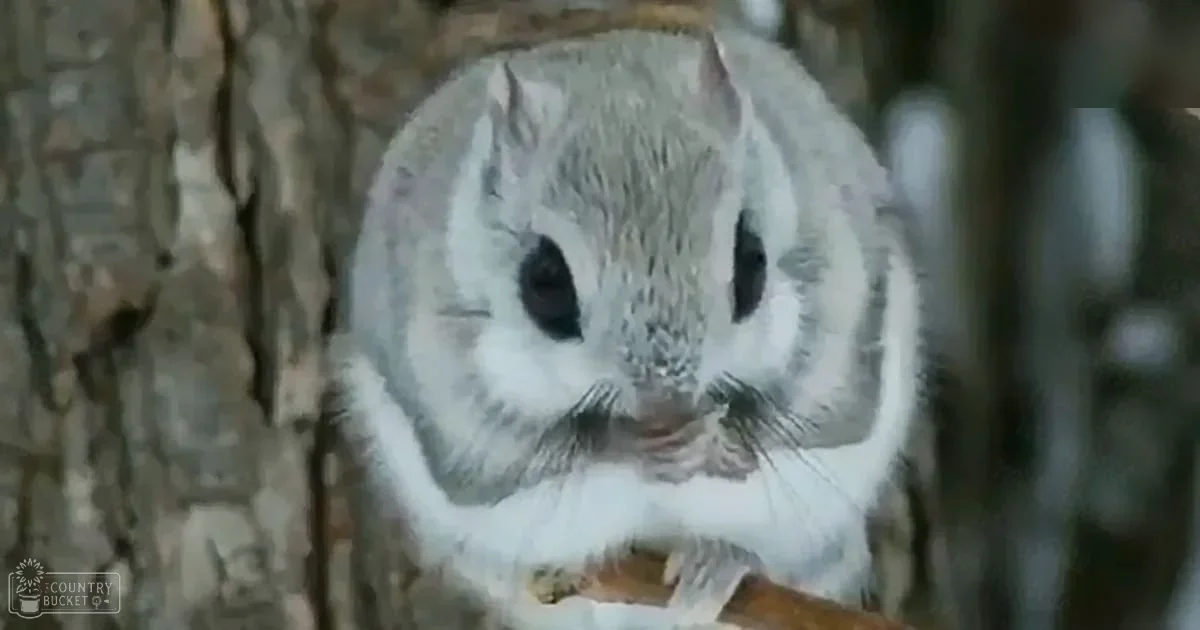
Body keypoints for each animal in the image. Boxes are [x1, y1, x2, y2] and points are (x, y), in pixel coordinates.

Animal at [333, 11, 923, 629]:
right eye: (544, 282)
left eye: (753, 261)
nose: (666, 402)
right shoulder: (446, 383)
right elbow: (514, 460)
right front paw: (643, 446)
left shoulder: (840, 315)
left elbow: (814, 414)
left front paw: (720, 444)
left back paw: (715, 567)